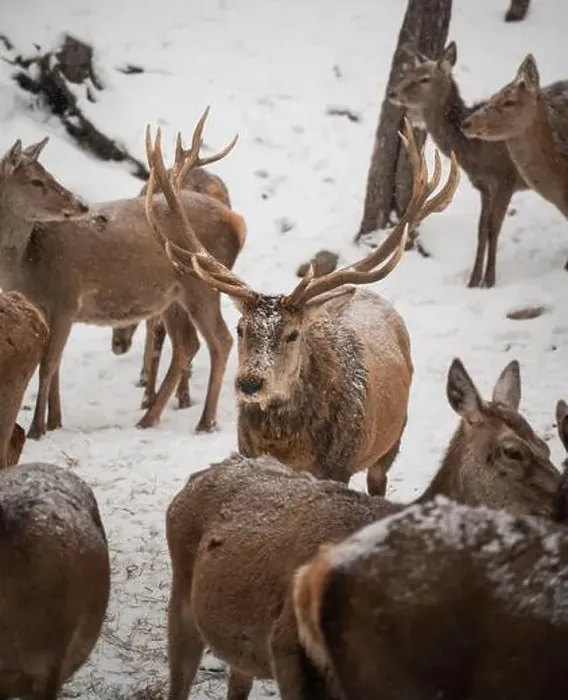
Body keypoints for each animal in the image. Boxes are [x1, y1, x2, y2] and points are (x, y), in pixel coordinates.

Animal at [149, 117, 458, 497]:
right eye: (241, 328)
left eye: (293, 334)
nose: (250, 383)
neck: (287, 448)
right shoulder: (248, 454)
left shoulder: (339, 466)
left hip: (392, 439)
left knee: (379, 480)